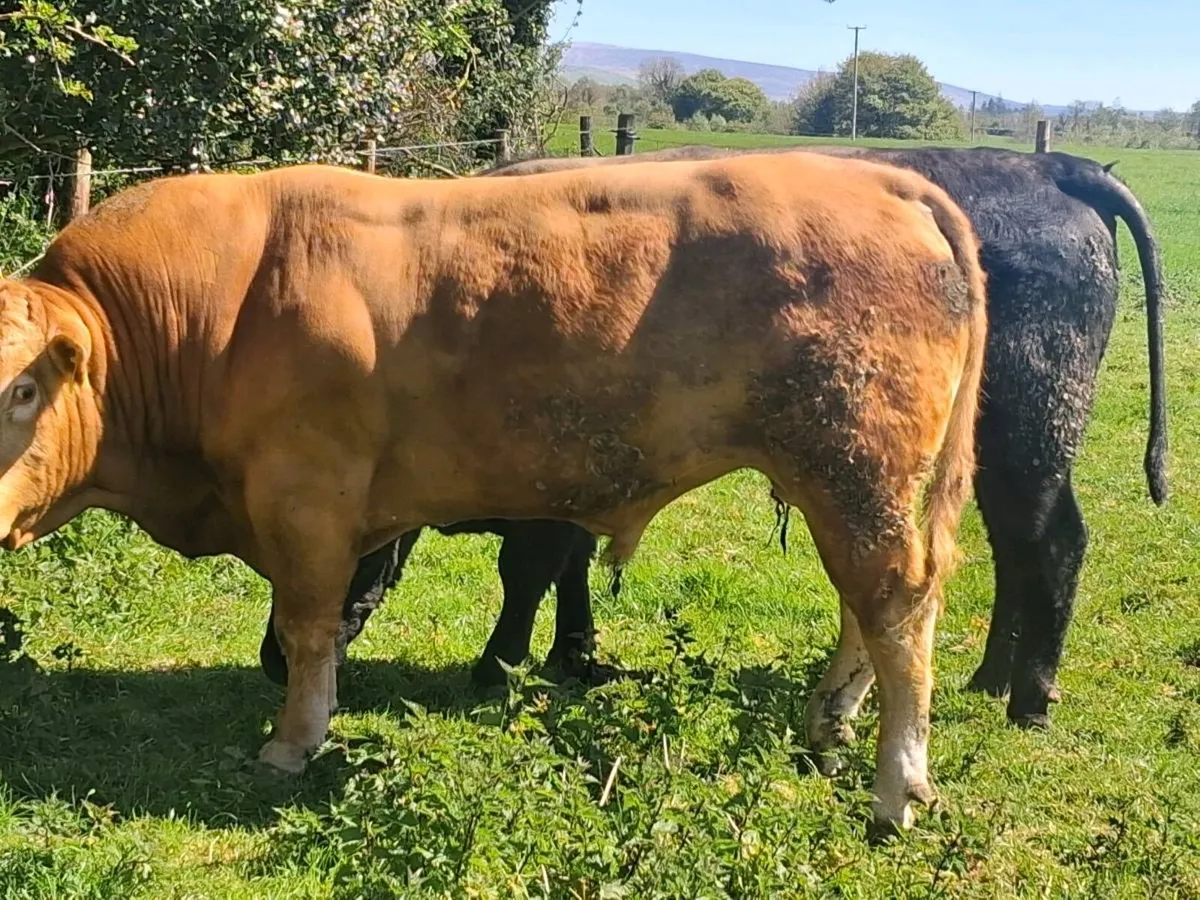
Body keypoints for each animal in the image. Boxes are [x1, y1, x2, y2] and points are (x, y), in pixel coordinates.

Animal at [0, 151, 986, 828]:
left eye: (21, 389)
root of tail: (883, 179)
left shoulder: (307, 499)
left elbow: (308, 628)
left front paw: (292, 742)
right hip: (843, 481)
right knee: (866, 602)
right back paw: (829, 725)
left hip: (856, 468)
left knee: (896, 605)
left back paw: (897, 786)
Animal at [286, 145, 1164, 736]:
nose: (272, 659)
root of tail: (1048, 167)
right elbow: (569, 571)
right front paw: (576, 656)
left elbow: (528, 571)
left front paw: (497, 665)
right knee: (1010, 551)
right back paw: (986, 680)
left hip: (1031, 436)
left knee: (1054, 544)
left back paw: (1030, 700)